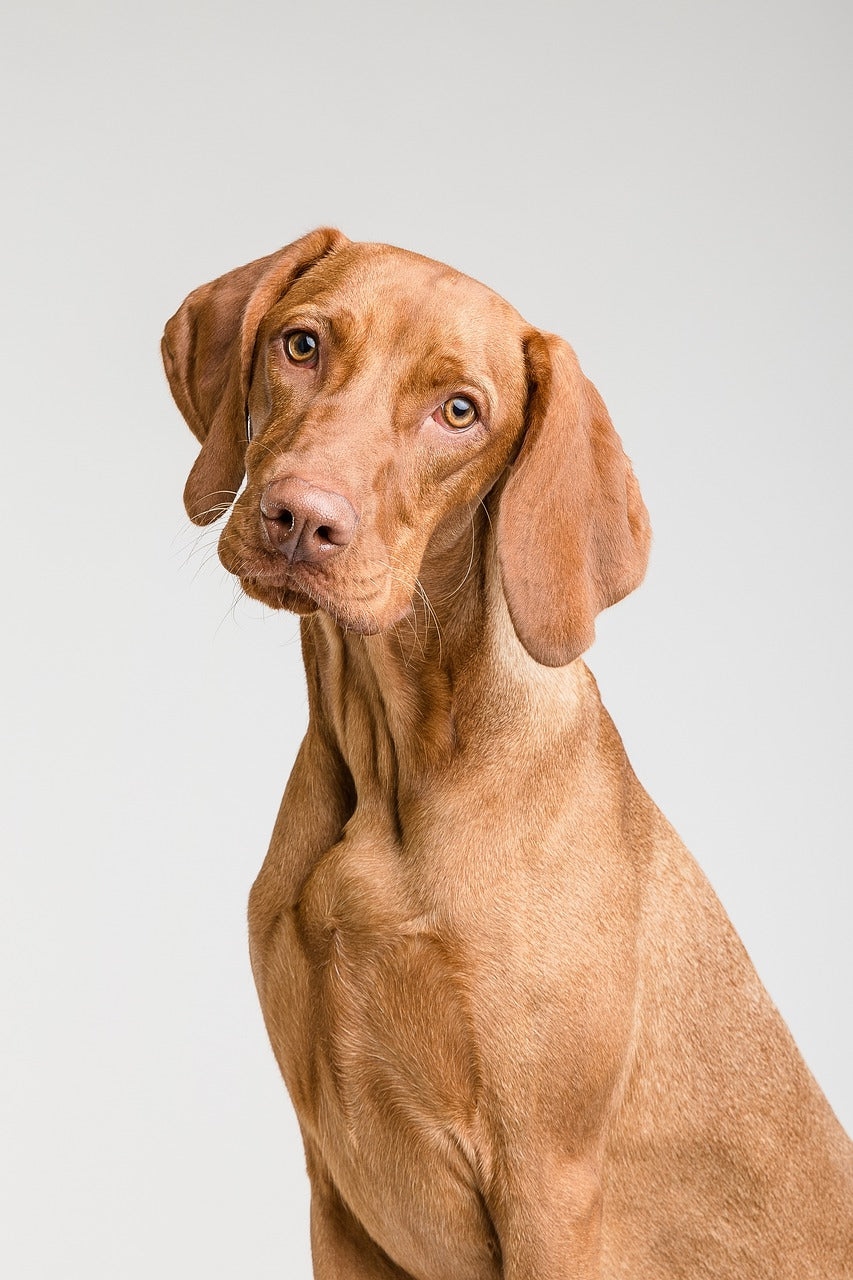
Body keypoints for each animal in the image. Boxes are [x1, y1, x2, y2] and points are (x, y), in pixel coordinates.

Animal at [161, 230, 850, 1280]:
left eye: (459, 412)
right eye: (301, 344)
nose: (300, 520)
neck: (393, 770)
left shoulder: (545, 1186)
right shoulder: (336, 1191)